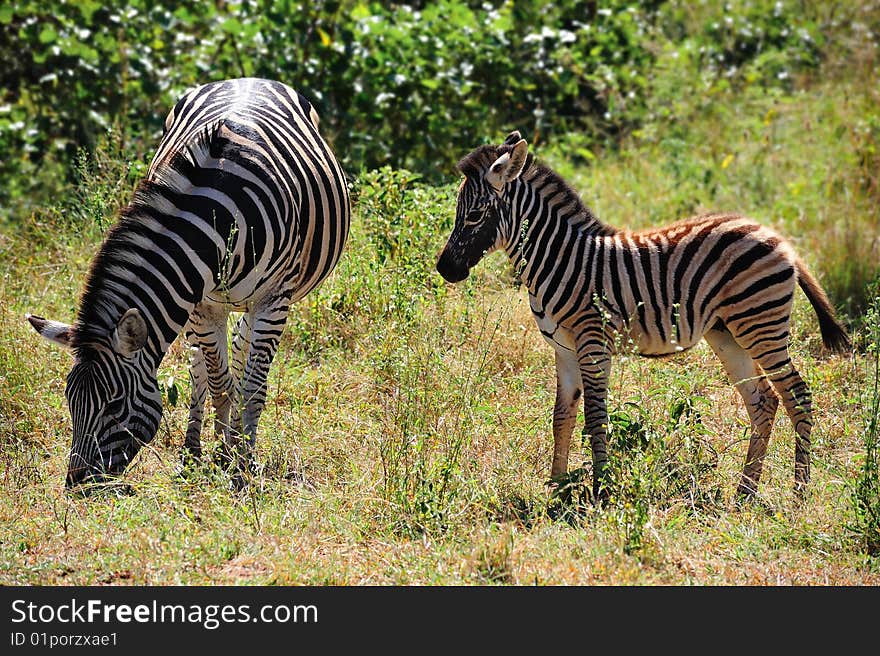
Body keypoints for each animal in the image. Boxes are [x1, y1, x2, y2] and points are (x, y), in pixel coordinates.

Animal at [24, 78, 348, 486]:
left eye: (115, 404)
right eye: (70, 400)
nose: (76, 483)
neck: (218, 216)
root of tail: (247, 80)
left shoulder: (273, 300)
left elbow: (251, 389)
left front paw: (244, 466)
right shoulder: (200, 301)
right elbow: (220, 383)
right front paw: (223, 455)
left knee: (240, 357)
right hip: (203, 307)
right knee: (202, 370)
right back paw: (193, 452)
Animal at [436, 133, 848, 502]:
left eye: (474, 215)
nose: (444, 269)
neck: (558, 258)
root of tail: (778, 237)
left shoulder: (592, 343)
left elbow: (596, 417)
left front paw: (600, 491)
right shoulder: (563, 350)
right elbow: (561, 417)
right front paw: (557, 490)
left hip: (761, 324)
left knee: (797, 395)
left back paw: (799, 493)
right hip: (728, 333)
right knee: (763, 402)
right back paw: (744, 493)